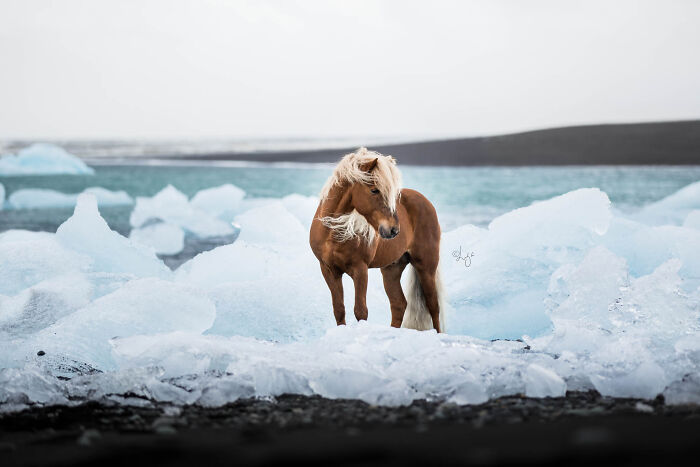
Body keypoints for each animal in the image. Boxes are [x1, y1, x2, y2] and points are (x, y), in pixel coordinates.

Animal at [309, 147, 446, 332]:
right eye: (374, 190)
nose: (394, 230)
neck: (333, 233)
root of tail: (425, 201)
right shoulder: (328, 270)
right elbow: (339, 309)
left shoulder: (360, 269)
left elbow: (360, 311)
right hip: (391, 269)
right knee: (399, 304)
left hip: (426, 266)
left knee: (433, 306)